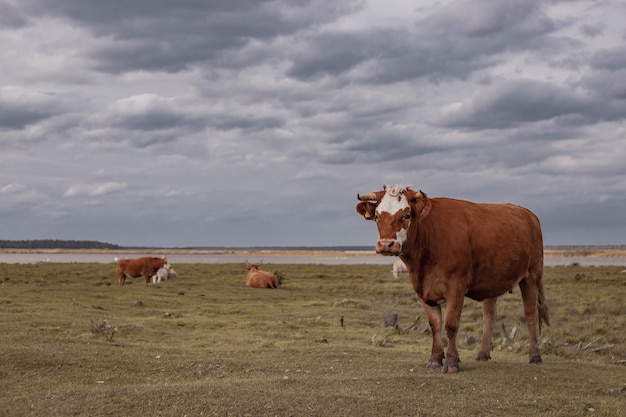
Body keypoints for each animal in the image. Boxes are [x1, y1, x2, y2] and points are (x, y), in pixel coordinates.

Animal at [356, 184, 544, 372]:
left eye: (407, 215)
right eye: (377, 216)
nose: (386, 244)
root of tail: (529, 214)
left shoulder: (456, 286)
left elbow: (451, 324)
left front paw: (452, 362)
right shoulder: (424, 289)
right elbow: (435, 325)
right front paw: (435, 359)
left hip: (532, 275)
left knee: (530, 314)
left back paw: (535, 356)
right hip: (491, 282)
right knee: (489, 317)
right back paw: (482, 355)